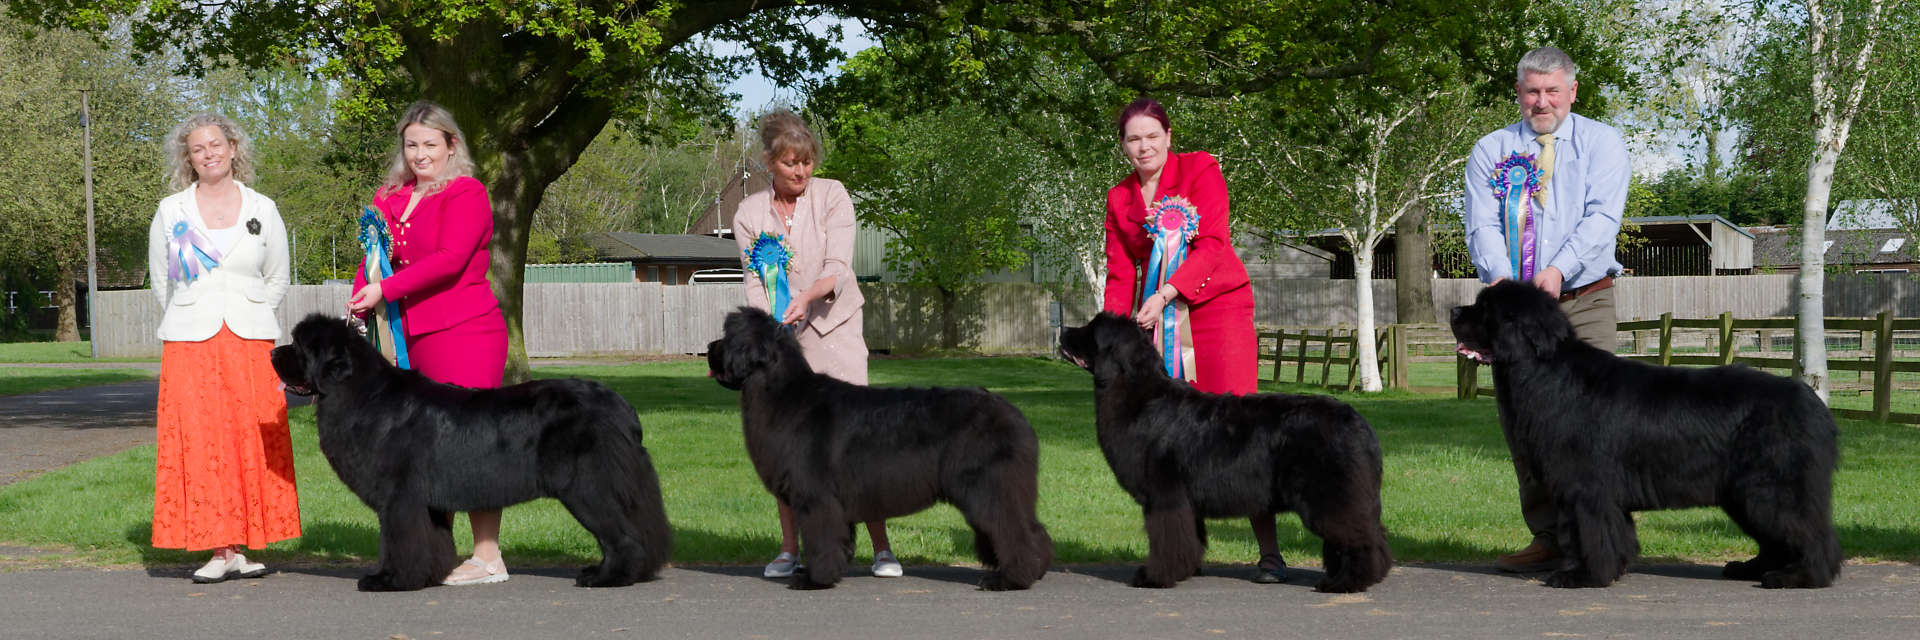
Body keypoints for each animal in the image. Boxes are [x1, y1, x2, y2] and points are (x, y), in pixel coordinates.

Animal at [270, 313, 672, 588]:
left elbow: (397, 540)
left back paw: (607, 576)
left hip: (588, 486)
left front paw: (389, 580)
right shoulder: (424, 502)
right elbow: (431, 539)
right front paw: (428, 576)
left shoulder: (399, 498)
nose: (273, 351)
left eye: (300, 347)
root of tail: (622, 408)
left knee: (620, 535)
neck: (362, 394)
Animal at [706, 307, 1052, 591]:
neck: (783, 393)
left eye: (728, 338)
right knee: (1032, 528)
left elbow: (820, 537)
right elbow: (839, 538)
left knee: (1012, 530)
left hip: (988, 488)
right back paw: (1036, 569)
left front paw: (814, 579)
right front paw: (832, 571)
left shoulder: (816, 496)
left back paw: (1009, 580)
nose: (709, 347)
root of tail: (1014, 414)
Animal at [1059, 311, 1390, 591]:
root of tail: (1357, 421)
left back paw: (1346, 583)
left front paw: (1154, 577)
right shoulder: (1185, 502)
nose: (1062, 330)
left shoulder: (1165, 497)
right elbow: (1190, 539)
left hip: (1329, 497)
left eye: (1091, 330)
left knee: (1358, 536)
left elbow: (1166, 539)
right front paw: (1185, 570)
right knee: (1372, 533)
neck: (1139, 394)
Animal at [1451, 282, 1843, 584]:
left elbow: (1590, 533)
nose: (1454, 311)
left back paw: (1801, 577)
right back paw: (1750, 569)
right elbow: (1603, 534)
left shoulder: (1585, 486)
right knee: (1776, 538)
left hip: (1770, 487)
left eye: (1484, 309)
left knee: (1808, 533)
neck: (1545, 370)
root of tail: (1814, 404)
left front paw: (1584, 576)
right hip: (1743, 493)